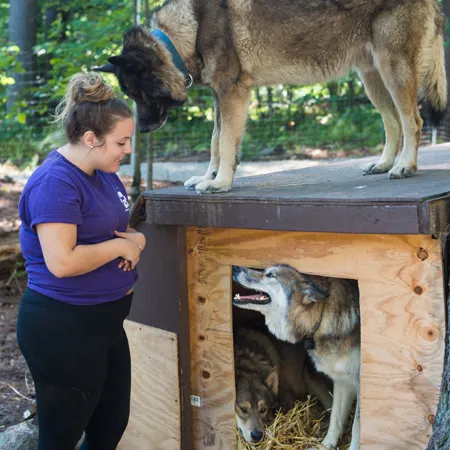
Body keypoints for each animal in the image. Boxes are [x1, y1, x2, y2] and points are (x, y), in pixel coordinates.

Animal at [96, 0, 446, 192]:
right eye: (130, 95)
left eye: (139, 93)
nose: (142, 130)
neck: (188, 28)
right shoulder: (220, 98)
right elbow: (215, 142)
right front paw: (207, 177)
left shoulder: (232, 94)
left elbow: (225, 144)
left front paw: (220, 184)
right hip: (372, 79)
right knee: (393, 123)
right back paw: (385, 164)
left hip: (392, 72)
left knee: (413, 121)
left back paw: (406, 166)